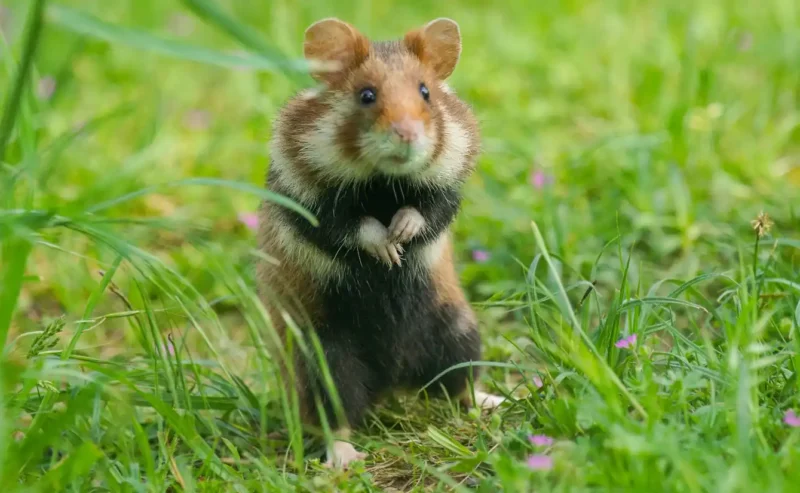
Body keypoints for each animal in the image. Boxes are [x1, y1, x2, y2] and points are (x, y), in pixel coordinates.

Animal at [257, 17, 504, 469]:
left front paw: (401, 236)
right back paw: (344, 459)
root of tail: (392, 383)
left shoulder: (447, 190)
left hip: (457, 329)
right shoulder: (306, 201)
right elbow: (350, 226)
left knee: (459, 385)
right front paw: (388, 250)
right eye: (366, 95)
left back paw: (499, 399)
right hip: (323, 361)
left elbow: (427, 212)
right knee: (335, 416)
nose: (407, 136)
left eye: (425, 92)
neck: (383, 180)